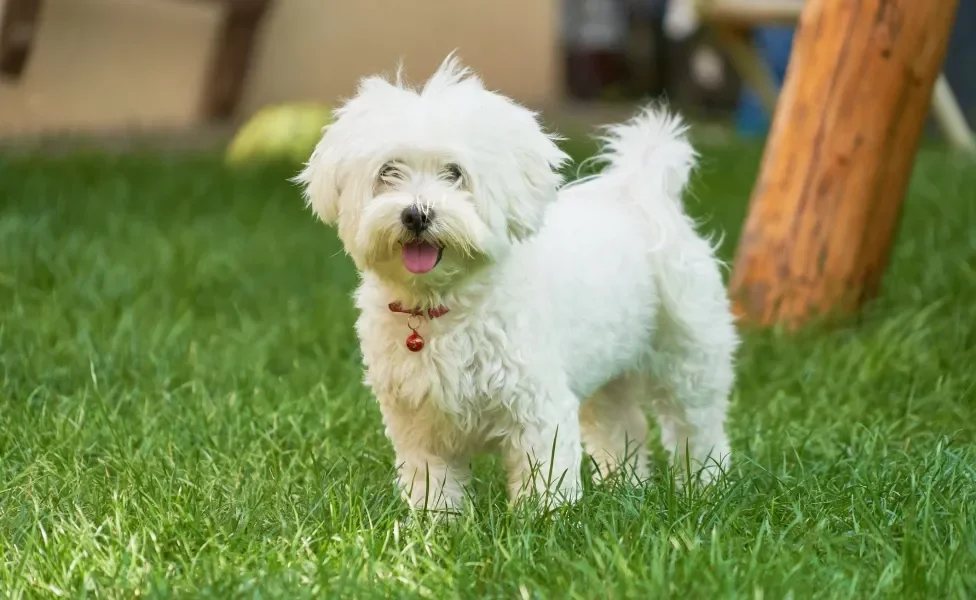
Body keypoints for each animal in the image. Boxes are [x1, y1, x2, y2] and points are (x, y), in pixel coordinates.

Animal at [298, 56, 740, 512]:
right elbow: (433, 483)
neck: (446, 303)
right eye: (388, 172)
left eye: (455, 173)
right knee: (622, 424)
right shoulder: (419, 423)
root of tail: (639, 192)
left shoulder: (538, 407)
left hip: (689, 354)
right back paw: (625, 486)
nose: (416, 214)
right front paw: (436, 522)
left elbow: (544, 474)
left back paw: (706, 485)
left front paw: (547, 519)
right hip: (609, 369)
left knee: (697, 426)